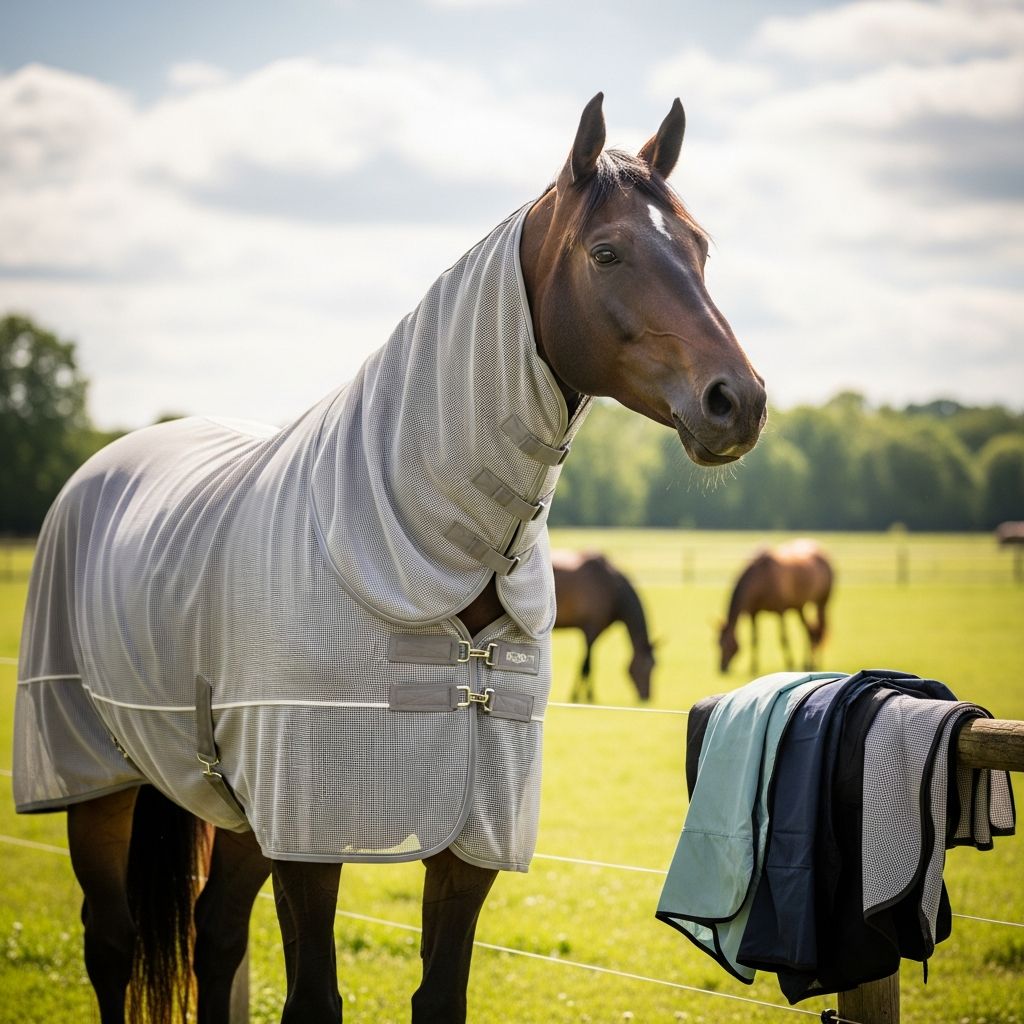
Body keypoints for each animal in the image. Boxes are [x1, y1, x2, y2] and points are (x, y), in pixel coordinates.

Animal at [552, 549, 655, 702]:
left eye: (655, 665)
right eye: (645, 666)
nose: (646, 697)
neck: (612, 589)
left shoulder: (596, 632)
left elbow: (588, 664)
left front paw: (585, 695)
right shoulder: (590, 631)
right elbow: (586, 665)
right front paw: (583, 696)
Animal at [718, 539, 833, 675]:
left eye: (726, 645)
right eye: (717, 643)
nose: (722, 668)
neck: (760, 579)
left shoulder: (780, 611)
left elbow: (783, 638)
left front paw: (790, 665)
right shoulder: (753, 613)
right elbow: (754, 640)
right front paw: (753, 668)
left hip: (822, 602)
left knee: (821, 629)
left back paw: (815, 665)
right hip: (800, 606)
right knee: (809, 631)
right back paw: (807, 665)